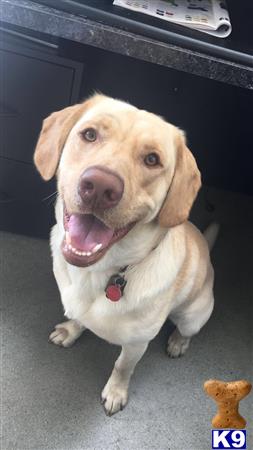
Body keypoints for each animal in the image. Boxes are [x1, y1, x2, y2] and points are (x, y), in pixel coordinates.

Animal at [33, 94, 216, 414]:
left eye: (152, 159)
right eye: (89, 134)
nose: (99, 186)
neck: (102, 271)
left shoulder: (136, 344)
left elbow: (122, 367)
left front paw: (116, 392)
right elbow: (79, 319)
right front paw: (70, 330)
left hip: (193, 315)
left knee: (187, 329)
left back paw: (179, 342)